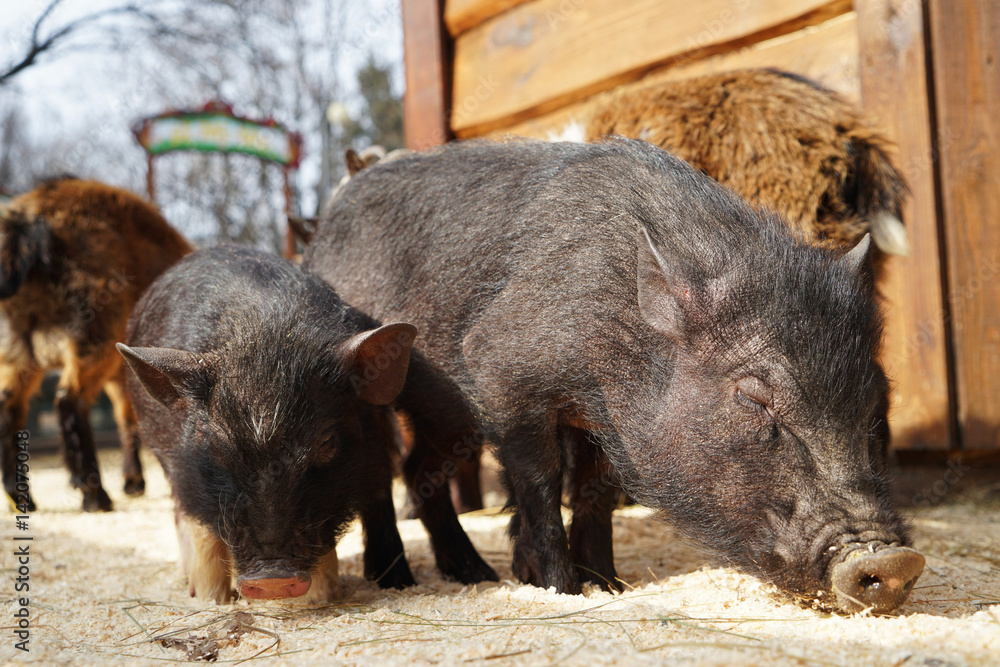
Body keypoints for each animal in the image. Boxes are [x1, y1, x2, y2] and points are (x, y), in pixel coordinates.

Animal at [1, 177, 191, 512]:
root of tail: (29, 218)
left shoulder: (123, 377)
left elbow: (126, 418)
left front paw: (133, 481)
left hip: (20, 351)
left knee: (10, 406)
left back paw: (20, 497)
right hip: (95, 332)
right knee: (69, 400)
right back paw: (95, 494)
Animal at [119, 245, 416, 604]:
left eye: (326, 443)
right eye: (216, 447)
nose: (272, 579)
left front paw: (323, 599)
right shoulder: (184, 470)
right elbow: (202, 531)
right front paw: (212, 600)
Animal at [300, 138, 924, 612]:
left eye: (876, 401)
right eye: (755, 399)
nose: (892, 561)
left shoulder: (602, 418)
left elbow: (594, 489)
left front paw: (610, 585)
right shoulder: (501, 372)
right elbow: (541, 484)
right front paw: (561, 588)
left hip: (448, 415)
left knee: (420, 468)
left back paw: (475, 575)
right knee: (380, 470)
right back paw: (400, 580)